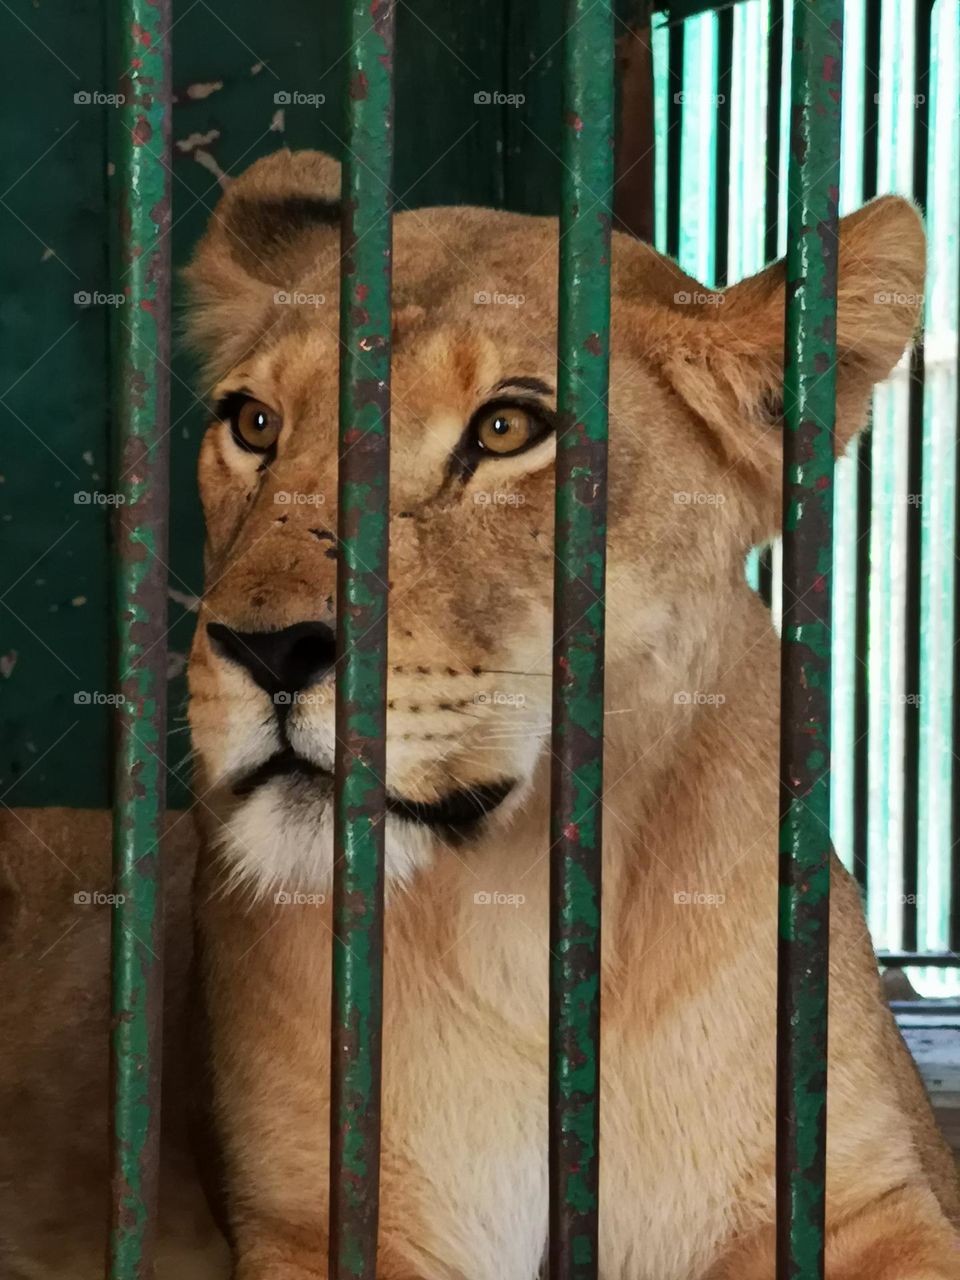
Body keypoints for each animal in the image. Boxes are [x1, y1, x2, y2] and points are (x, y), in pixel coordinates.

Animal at [179, 147, 960, 1279]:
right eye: (254, 423)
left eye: (506, 429)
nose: (265, 651)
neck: (519, 909)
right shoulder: (316, 1220)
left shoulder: (868, 1202)